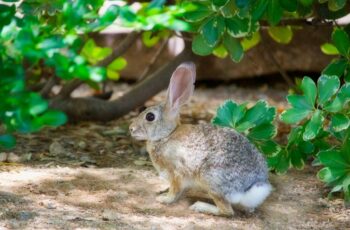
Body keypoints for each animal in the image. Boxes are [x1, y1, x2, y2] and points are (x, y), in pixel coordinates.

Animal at [130, 62, 272, 217]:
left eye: (150, 117)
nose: (131, 129)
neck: (167, 135)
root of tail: (252, 187)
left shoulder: (176, 172)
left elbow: (175, 190)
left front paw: (164, 199)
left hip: (211, 178)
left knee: (227, 211)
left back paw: (200, 206)